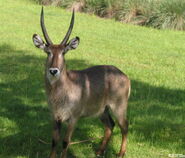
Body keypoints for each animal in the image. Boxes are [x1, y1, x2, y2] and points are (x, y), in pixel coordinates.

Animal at [32, 6, 130, 157]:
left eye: (64, 52)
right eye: (48, 52)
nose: (53, 71)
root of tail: (124, 75)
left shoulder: (73, 118)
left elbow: (65, 142)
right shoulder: (55, 117)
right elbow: (54, 141)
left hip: (119, 107)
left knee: (124, 126)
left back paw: (120, 154)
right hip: (103, 110)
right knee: (110, 125)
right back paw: (99, 152)